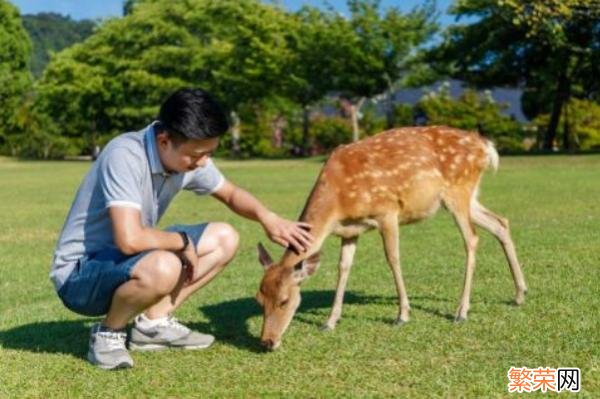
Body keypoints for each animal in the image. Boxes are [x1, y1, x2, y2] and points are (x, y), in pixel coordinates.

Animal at [255, 125, 528, 350]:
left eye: (284, 300)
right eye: (259, 299)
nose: (267, 341)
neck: (338, 201)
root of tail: (485, 147)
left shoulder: (387, 212)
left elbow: (393, 258)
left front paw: (402, 315)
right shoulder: (350, 230)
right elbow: (343, 268)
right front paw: (330, 321)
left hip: (458, 191)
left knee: (472, 239)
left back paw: (461, 311)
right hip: (468, 197)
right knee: (501, 223)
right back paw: (519, 294)